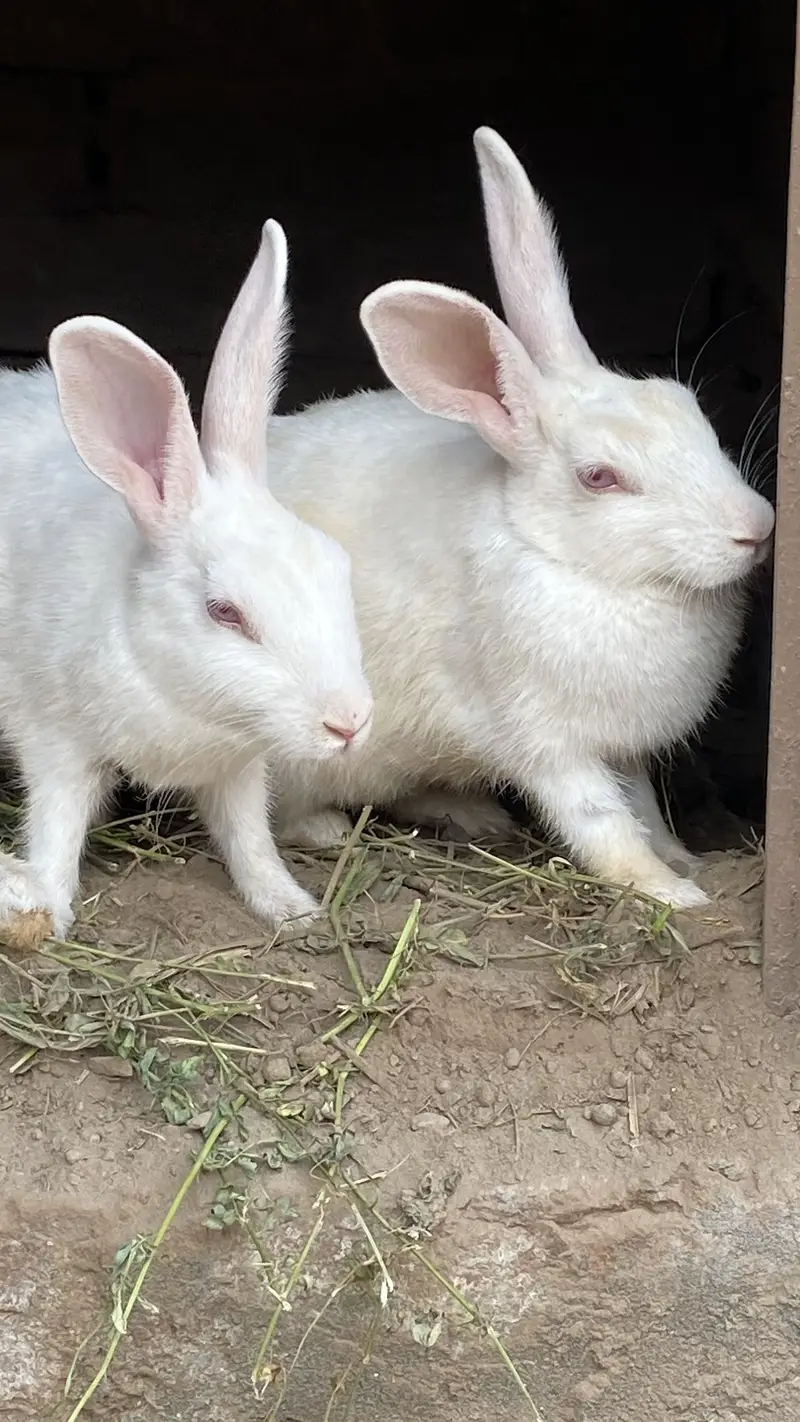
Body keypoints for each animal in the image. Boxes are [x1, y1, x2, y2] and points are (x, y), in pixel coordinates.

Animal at [0, 218, 373, 941]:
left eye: (335, 568)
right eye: (224, 612)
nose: (349, 724)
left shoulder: (240, 767)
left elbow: (249, 838)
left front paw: (292, 908)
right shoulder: (54, 737)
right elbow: (57, 826)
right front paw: (47, 907)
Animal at [266, 128, 774, 909]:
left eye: (687, 406)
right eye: (600, 477)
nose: (757, 526)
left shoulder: (622, 746)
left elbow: (642, 804)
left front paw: (682, 857)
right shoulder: (547, 740)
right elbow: (599, 820)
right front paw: (668, 891)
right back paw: (330, 826)